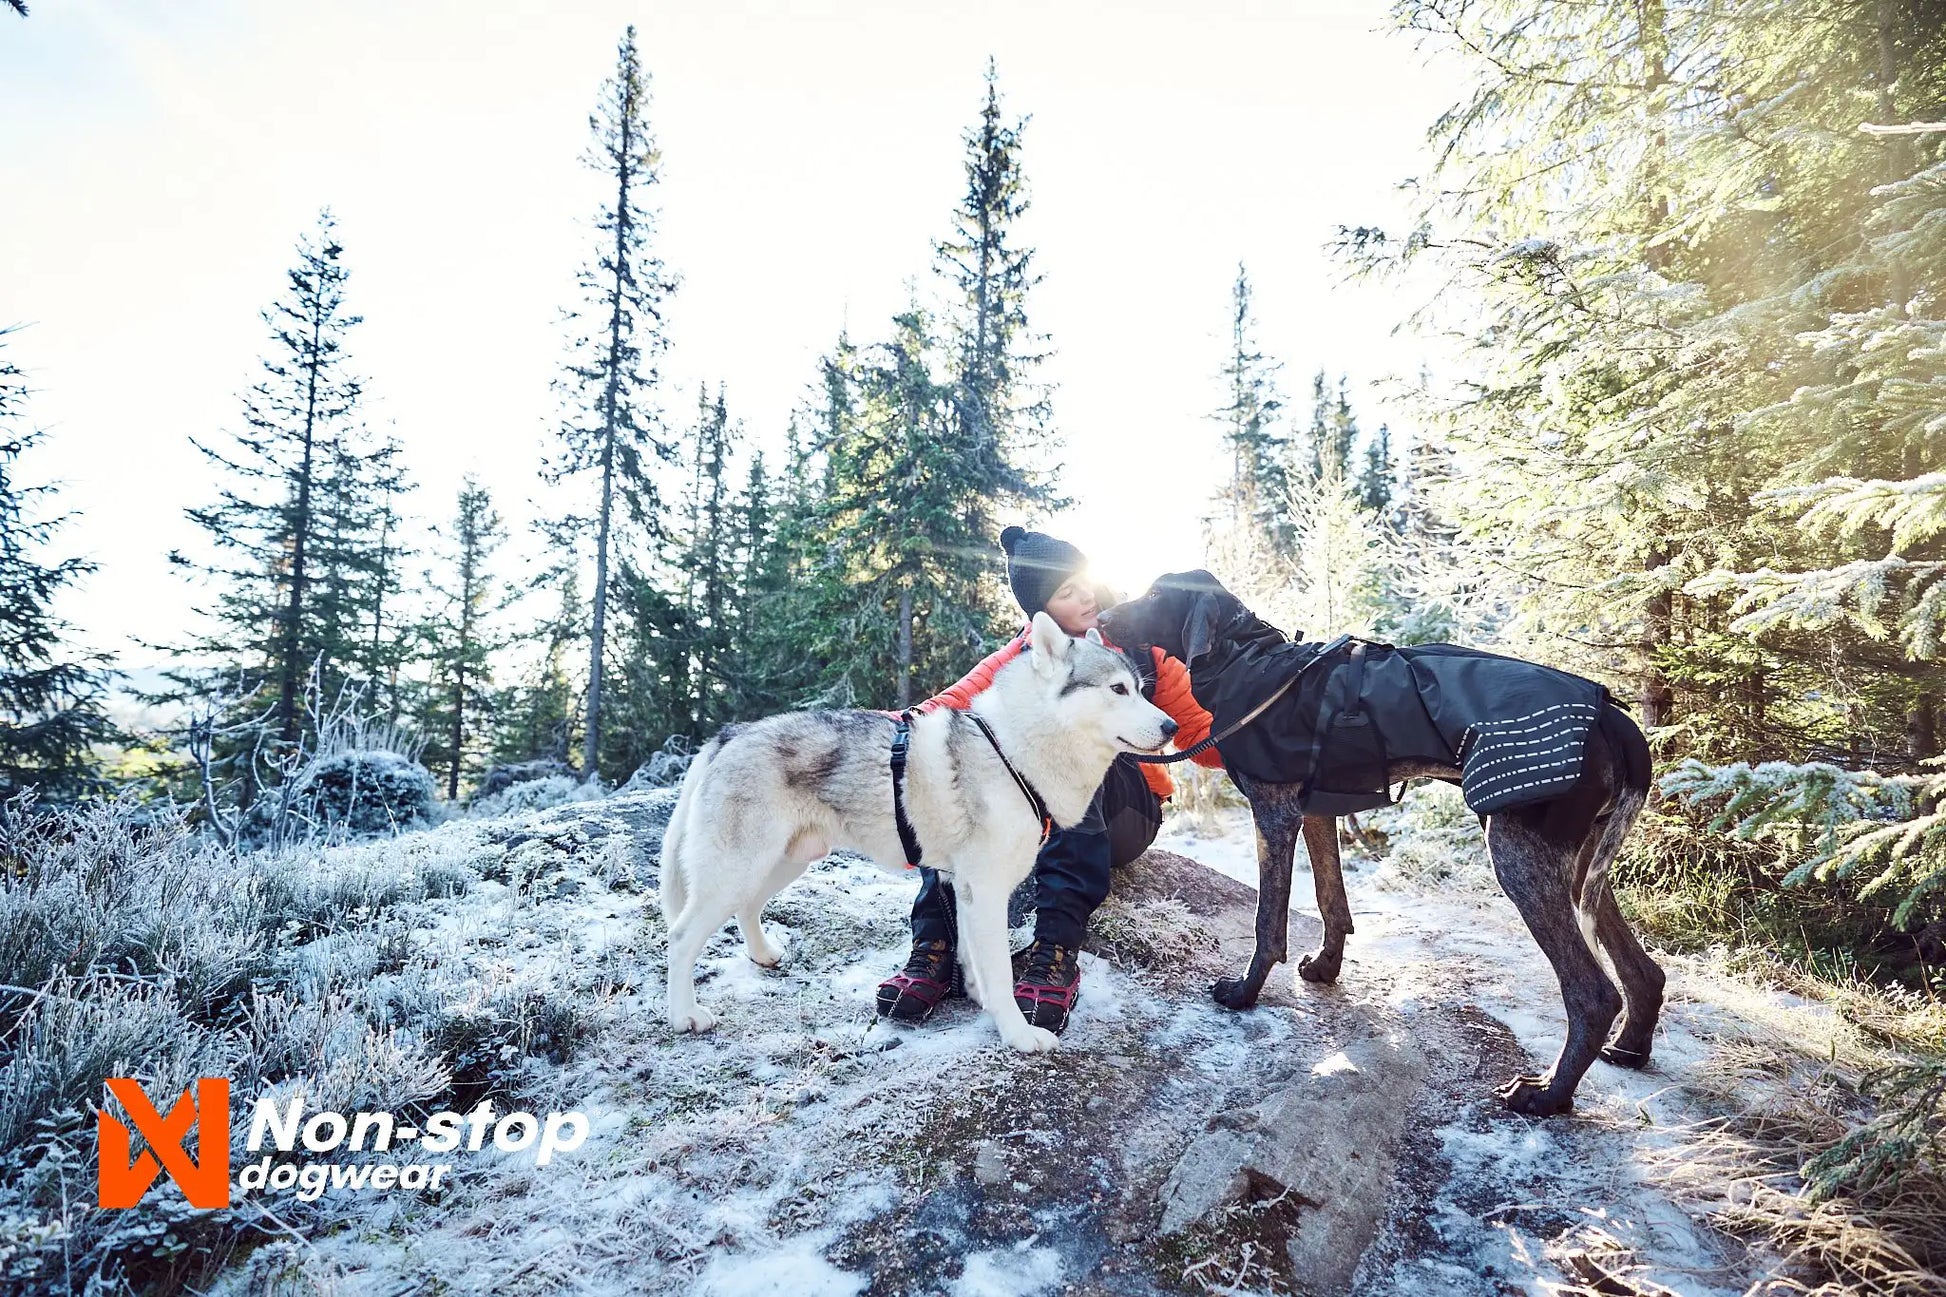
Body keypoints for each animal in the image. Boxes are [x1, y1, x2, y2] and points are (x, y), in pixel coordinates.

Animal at [657, 611, 1167, 1043]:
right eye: (1118, 689)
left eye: (1142, 689)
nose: (1171, 726)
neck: (1011, 751)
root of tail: (731, 734)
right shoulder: (985, 889)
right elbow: (1000, 973)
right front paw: (1019, 1035)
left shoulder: (964, 889)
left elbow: (973, 958)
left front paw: (979, 998)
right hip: (738, 870)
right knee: (681, 938)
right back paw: (685, 1015)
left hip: (782, 863)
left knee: (746, 909)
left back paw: (762, 954)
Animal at [1105, 568, 1665, 1113]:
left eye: (1154, 595)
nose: (1105, 617)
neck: (1250, 660)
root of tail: (1615, 718)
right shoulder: (1316, 812)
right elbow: (1331, 900)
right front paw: (1326, 968)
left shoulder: (1274, 814)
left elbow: (1268, 924)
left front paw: (1246, 991)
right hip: (1577, 865)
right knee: (1645, 973)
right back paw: (1629, 1048)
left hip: (1519, 857)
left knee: (1594, 993)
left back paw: (1548, 1094)